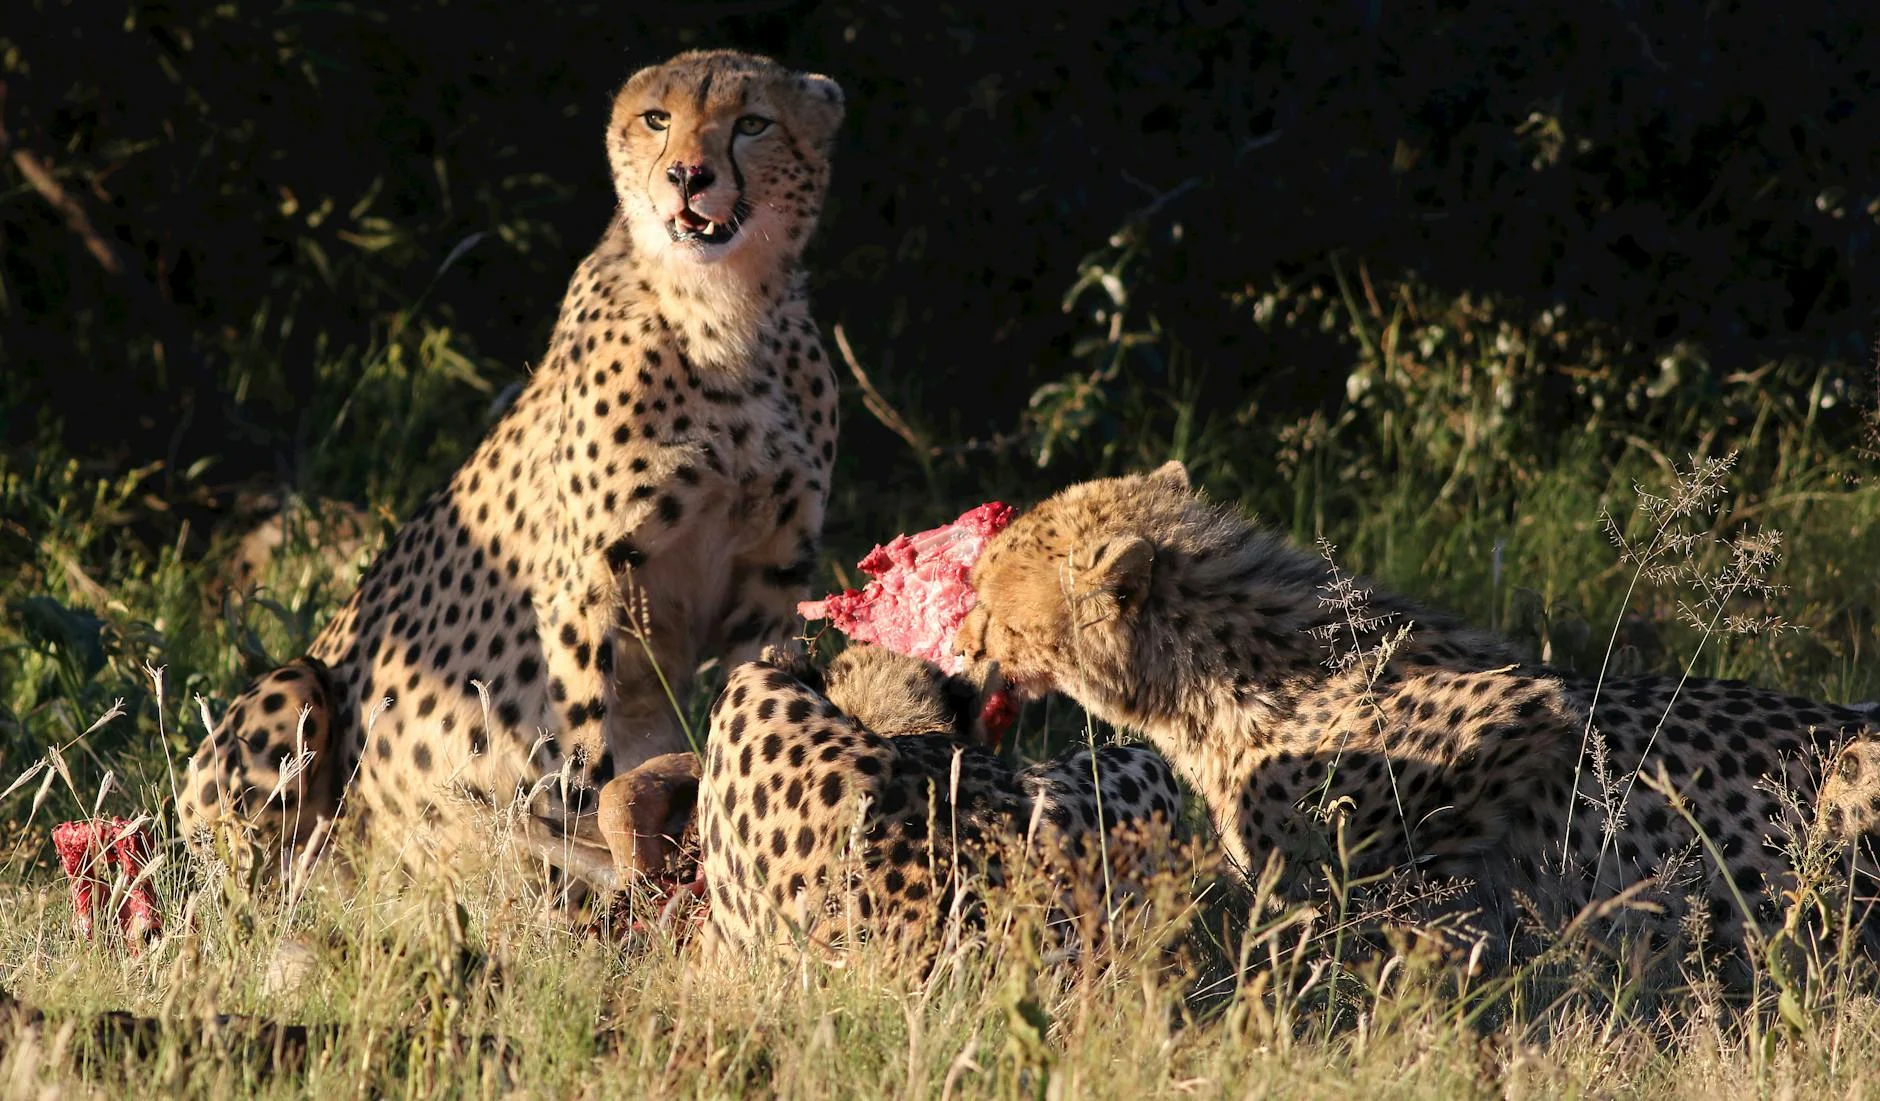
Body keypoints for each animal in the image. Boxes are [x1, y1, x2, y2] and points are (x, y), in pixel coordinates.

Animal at [177, 49, 846, 887]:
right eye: (658, 119)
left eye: (753, 123)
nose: (687, 176)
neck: (723, 313)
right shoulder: (586, 578)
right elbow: (587, 735)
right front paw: (608, 853)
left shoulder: (771, 583)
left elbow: (753, 702)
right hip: (294, 689)